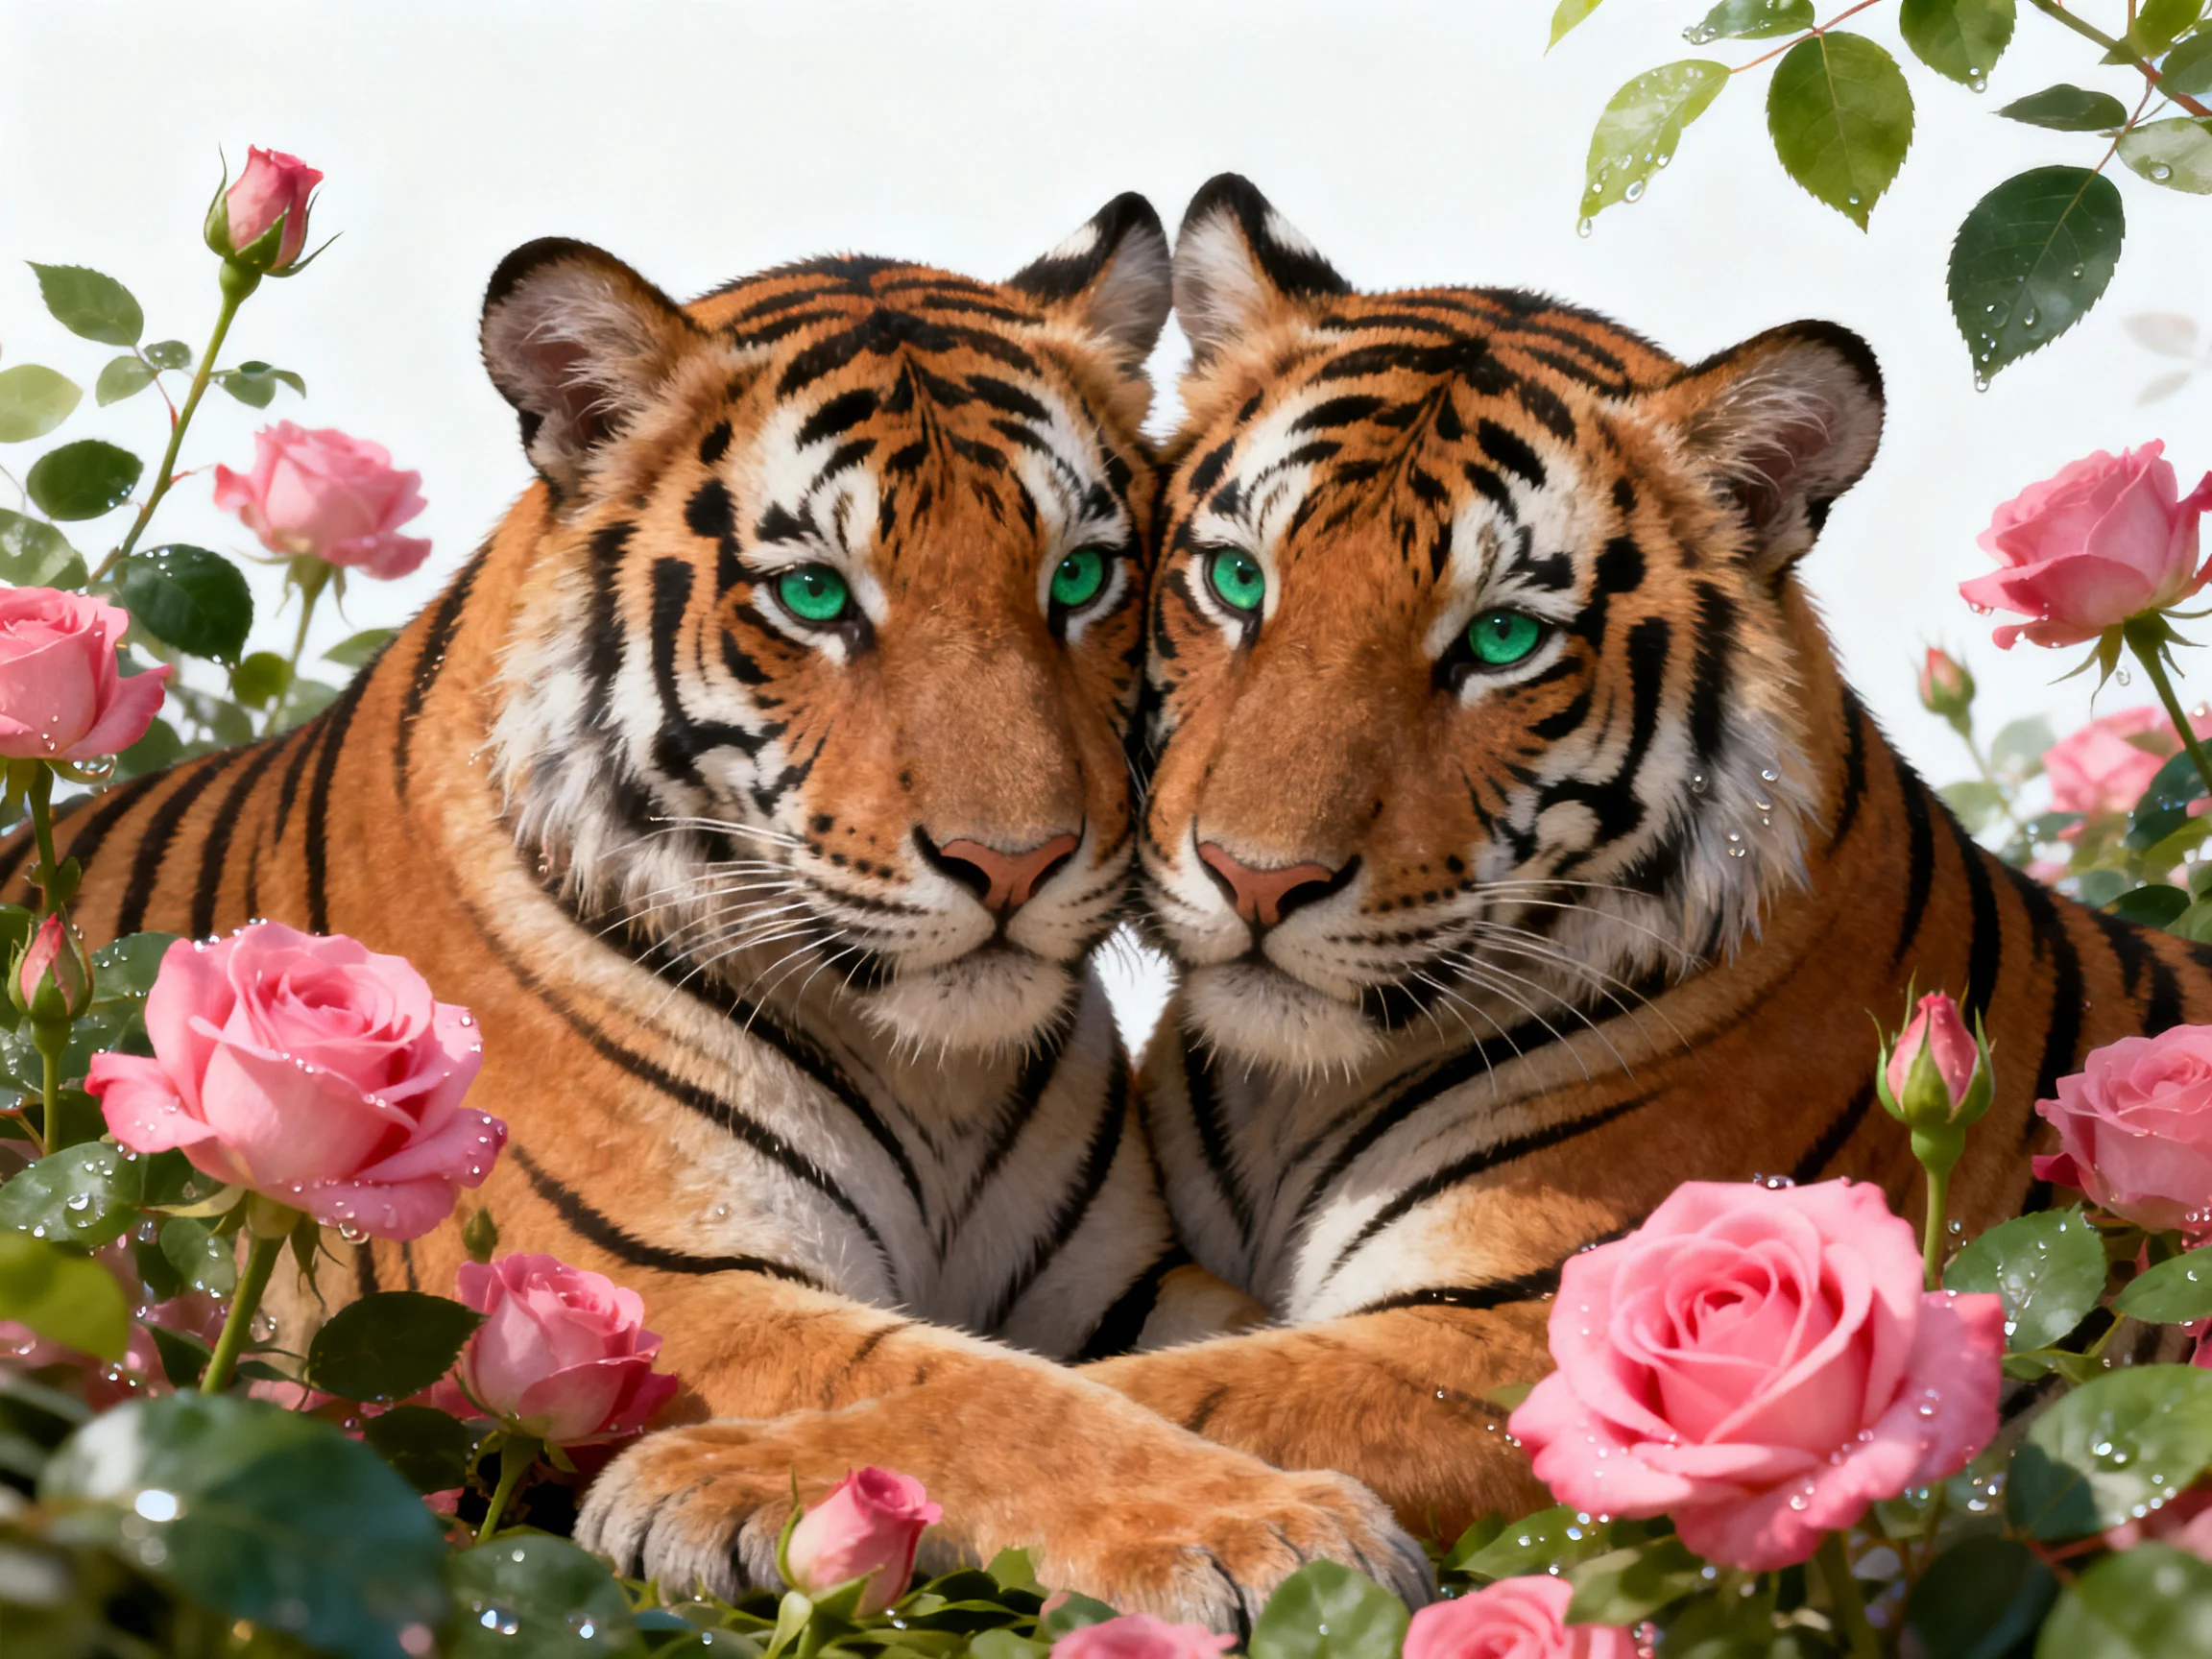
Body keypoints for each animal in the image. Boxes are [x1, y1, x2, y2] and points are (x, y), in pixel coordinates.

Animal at [8, 197, 1426, 1621]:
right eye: (814, 596)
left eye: (1079, 578)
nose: (1013, 863)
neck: (936, 1073)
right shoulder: (653, 1283)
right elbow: (979, 1394)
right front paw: (1272, 1532)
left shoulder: (1120, 1279)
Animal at [1078, 173, 2212, 1541]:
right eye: (1239, 580)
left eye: (1501, 640)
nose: (1256, 878)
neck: (1283, 1098)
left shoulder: (1525, 1330)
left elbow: (1161, 1396)